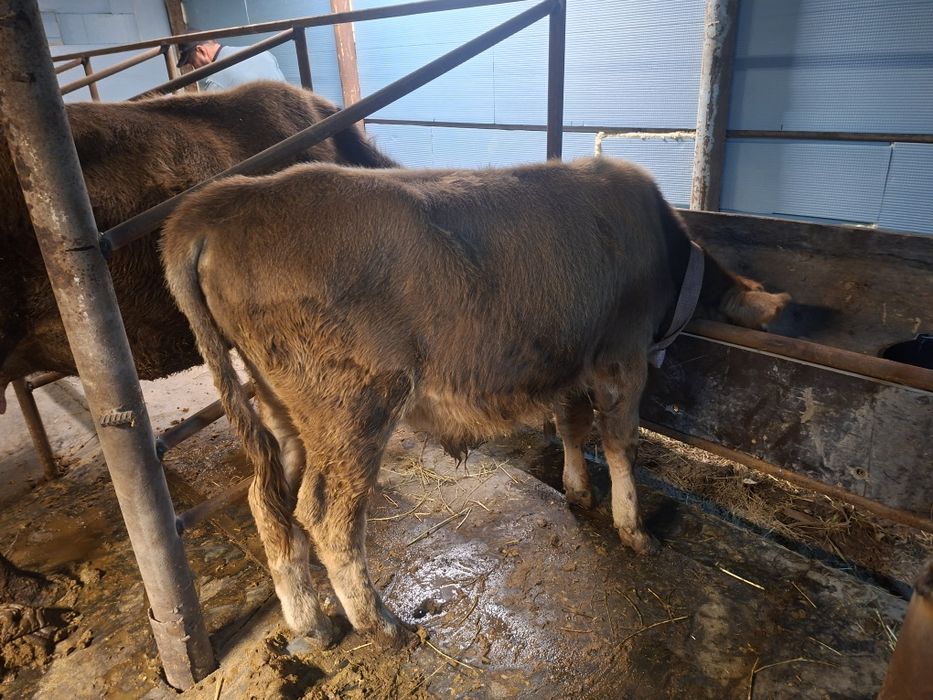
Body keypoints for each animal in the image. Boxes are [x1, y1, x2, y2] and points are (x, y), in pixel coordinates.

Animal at [160, 157, 791, 648]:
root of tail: (223, 203)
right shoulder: (621, 354)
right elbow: (619, 441)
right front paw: (635, 531)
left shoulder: (568, 358)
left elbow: (571, 424)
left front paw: (578, 492)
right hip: (355, 405)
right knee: (326, 516)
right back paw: (383, 625)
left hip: (283, 409)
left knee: (267, 500)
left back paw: (311, 624)